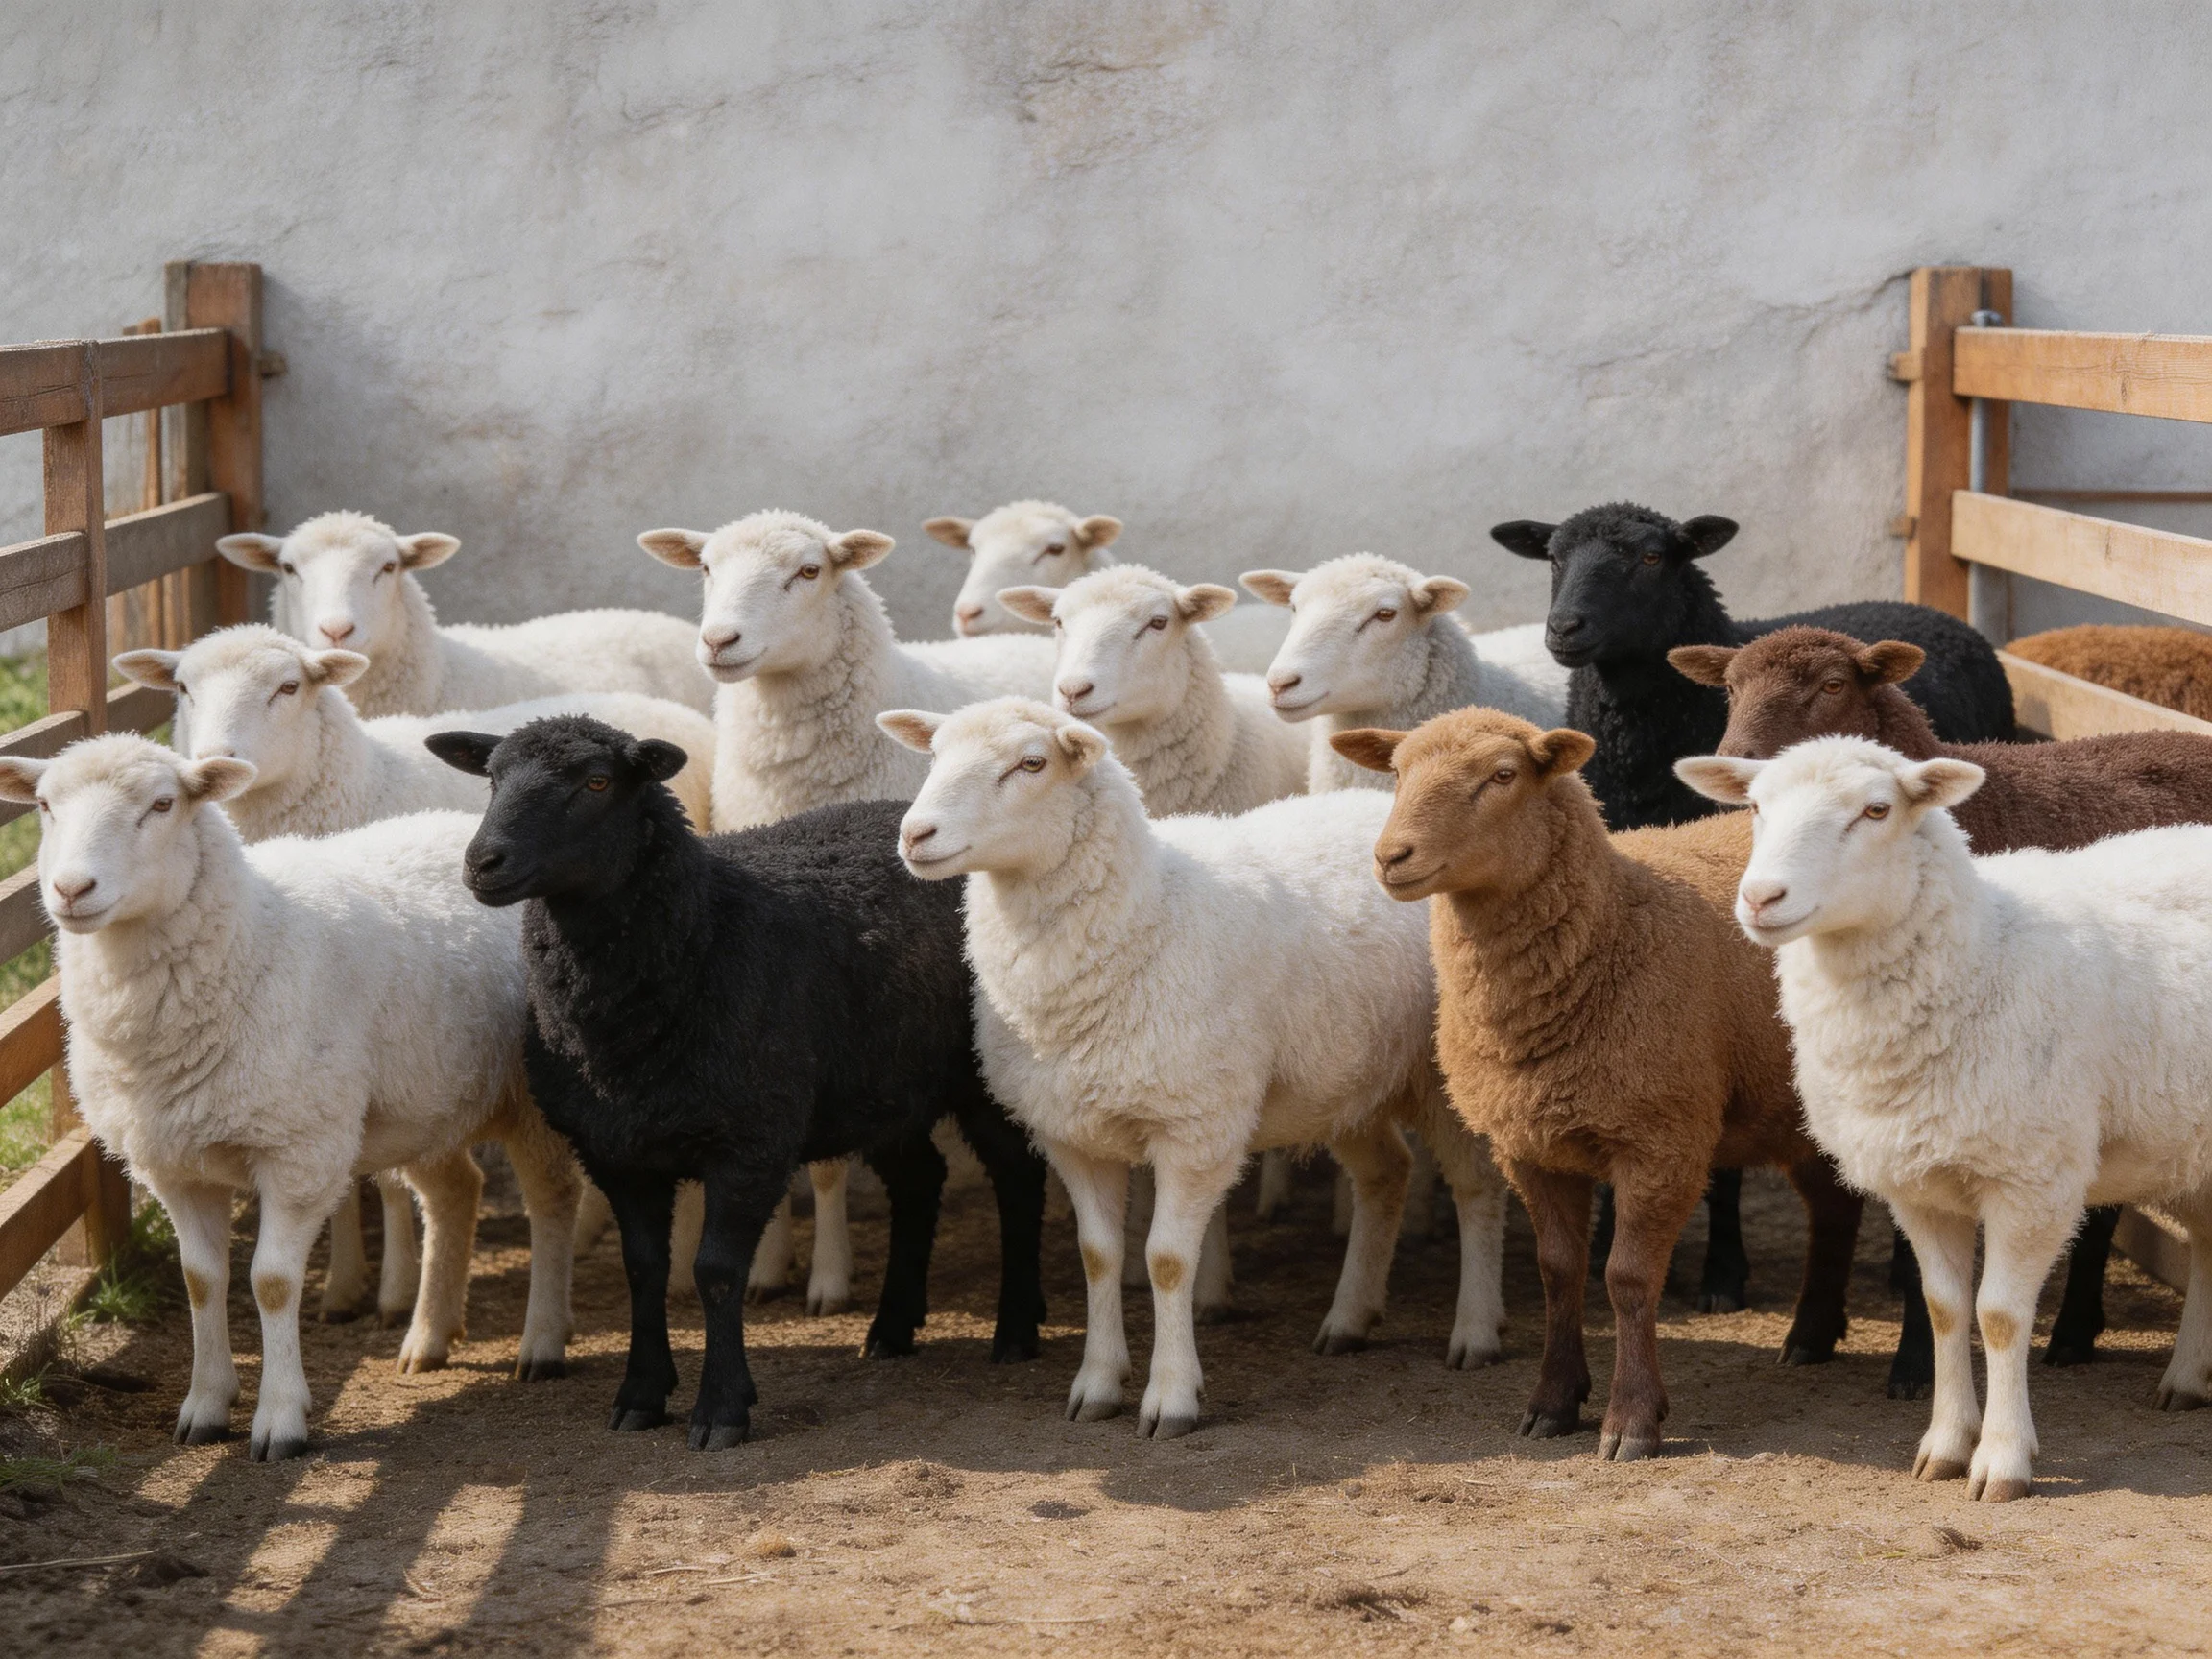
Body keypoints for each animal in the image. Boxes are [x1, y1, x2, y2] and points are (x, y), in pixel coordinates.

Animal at [3, 736, 578, 1460]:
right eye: (46, 805)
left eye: (163, 805)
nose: (72, 890)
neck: (250, 935)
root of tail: (467, 833)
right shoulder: (174, 1163)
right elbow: (202, 1280)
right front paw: (204, 1406)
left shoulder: (298, 1149)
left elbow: (272, 1283)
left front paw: (280, 1419)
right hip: (421, 1101)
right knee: (456, 1193)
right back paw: (428, 1337)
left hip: (532, 1095)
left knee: (552, 1200)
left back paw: (543, 1341)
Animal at [429, 716, 1049, 1449]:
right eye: (492, 778)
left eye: (598, 782)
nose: (482, 863)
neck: (701, 934)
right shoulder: (617, 1151)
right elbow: (644, 1270)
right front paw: (641, 1395)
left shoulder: (749, 1142)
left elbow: (717, 1273)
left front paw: (721, 1410)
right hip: (880, 1083)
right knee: (920, 1180)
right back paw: (892, 1329)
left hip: (981, 1078)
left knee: (1017, 1178)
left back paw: (1015, 1331)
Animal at [879, 698, 1511, 1437]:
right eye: (935, 754)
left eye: (1031, 763)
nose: (915, 834)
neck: (1147, 910)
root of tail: (1378, 807)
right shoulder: (1073, 1132)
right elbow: (1099, 1257)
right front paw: (1097, 1384)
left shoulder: (1195, 1124)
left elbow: (1167, 1261)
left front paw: (1171, 1398)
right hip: (1342, 1074)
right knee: (1386, 1174)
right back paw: (1348, 1319)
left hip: (1440, 1074)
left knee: (1476, 1188)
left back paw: (1475, 1331)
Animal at [1333, 708, 1868, 1462]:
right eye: (1399, 771)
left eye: (1503, 775)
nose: (1391, 857)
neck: (1612, 923)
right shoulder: (1530, 1144)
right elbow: (1559, 1271)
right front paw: (1553, 1403)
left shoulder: (1661, 1140)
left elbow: (1626, 1277)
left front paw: (1632, 1420)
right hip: (1793, 1110)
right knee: (1833, 1205)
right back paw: (1811, 1335)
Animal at [1678, 738, 2212, 1501]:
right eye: (1754, 807)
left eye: (1877, 810)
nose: (1760, 898)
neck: (1981, 954)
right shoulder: (1919, 1186)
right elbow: (1945, 1309)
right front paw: (1947, 1445)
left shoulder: (2032, 1179)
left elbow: (2000, 1316)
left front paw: (2003, 1460)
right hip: (2185, 1142)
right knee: (2207, 1241)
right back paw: (2188, 1376)